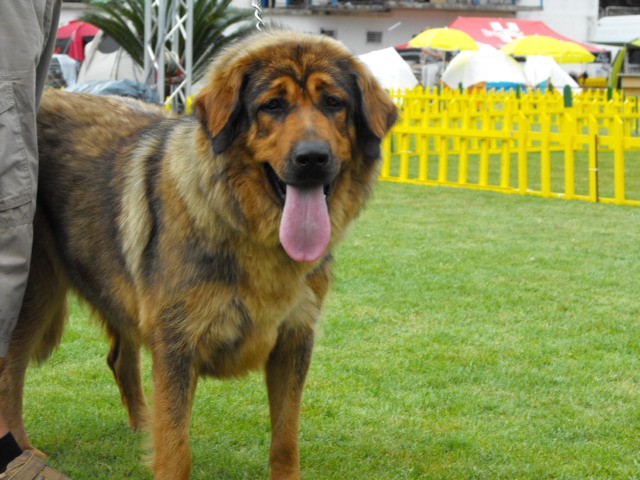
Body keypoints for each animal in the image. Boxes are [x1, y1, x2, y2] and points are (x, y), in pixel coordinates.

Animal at [0, 29, 397, 479]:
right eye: (272, 106)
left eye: (333, 102)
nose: (312, 158)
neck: (250, 232)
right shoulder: (178, 343)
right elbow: (176, 449)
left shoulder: (293, 341)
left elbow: (285, 440)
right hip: (34, 295)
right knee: (10, 374)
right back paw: (25, 452)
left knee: (120, 359)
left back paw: (143, 426)